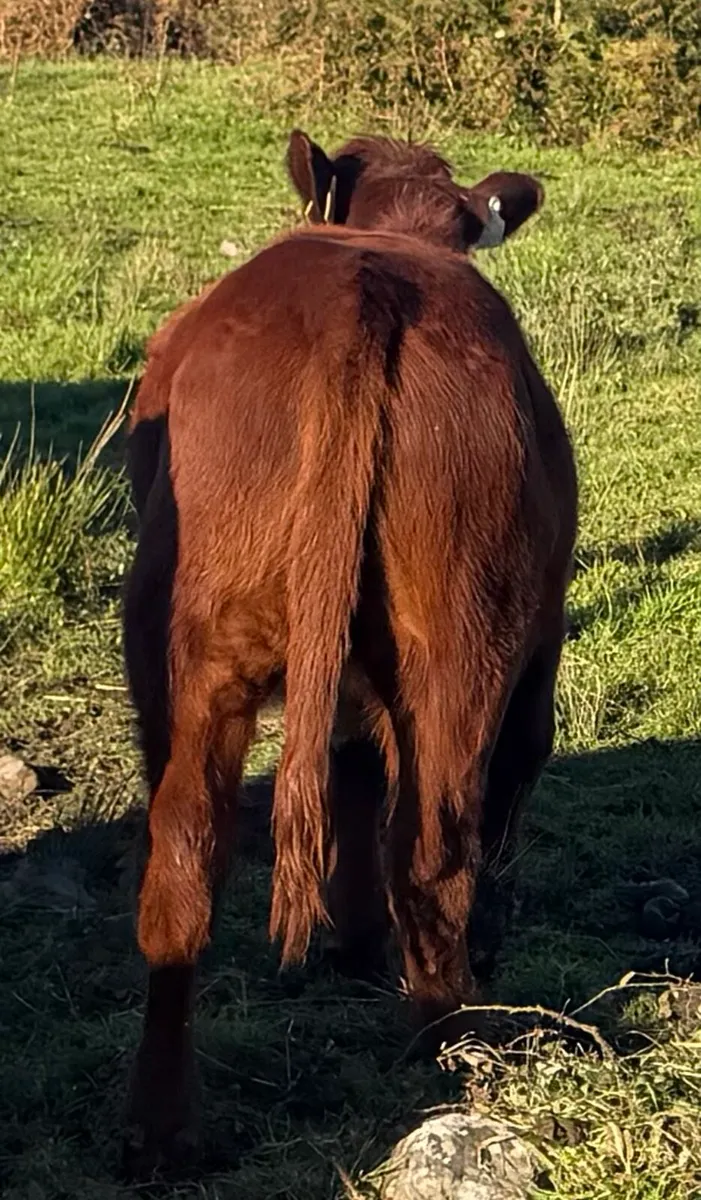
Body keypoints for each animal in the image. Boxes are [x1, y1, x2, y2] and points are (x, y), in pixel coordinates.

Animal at [121, 131, 577, 1175]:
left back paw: (163, 1133)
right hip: (460, 639)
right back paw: (440, 1047)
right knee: (436, 843)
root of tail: (357, 290)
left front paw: (356, 945)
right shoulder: (542, 638)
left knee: (186, 861)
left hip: (194, 653)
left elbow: (357, 774)